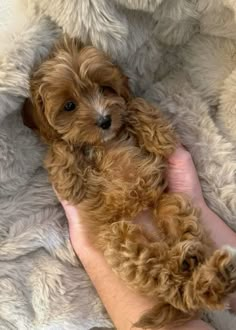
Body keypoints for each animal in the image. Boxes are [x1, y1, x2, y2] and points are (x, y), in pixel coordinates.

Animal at [22, 37, 236, 328]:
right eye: (69, 106)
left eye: (105, 88)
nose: (104, 119)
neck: (105, 143)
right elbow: (60, 147)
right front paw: (67, 170)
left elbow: (139, 109)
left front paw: (148, 126)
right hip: (119, 237)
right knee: (172, 285)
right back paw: (198, 269)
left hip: (170, 202)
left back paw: (196, 263)